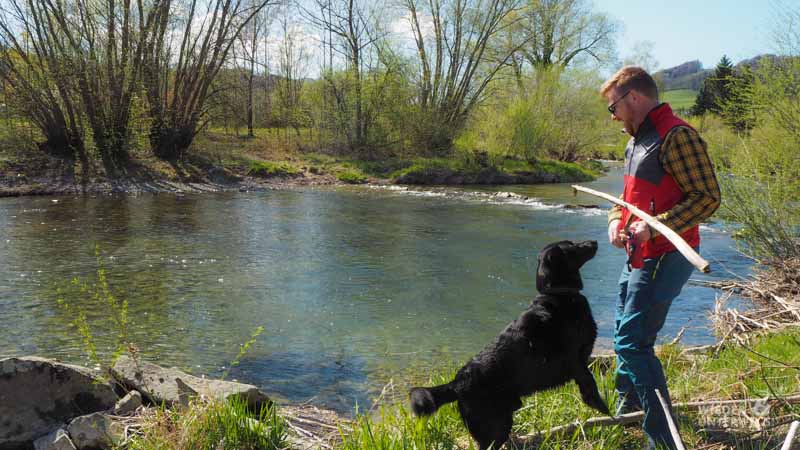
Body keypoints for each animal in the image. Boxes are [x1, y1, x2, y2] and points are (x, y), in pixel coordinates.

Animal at [410, 241, 608, 448]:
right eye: (572, 246)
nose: (594, 242)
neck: (560, 294)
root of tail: (456, 384)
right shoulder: (575, 359)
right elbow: (589, 383)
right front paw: (602, 407)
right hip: (496, 427)